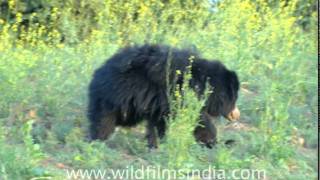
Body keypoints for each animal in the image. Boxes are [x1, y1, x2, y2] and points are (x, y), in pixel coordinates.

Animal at [87, 44, 240, 149]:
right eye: (233, 98)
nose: (236, 114)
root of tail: (98, 71)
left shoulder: (158, 103)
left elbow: (158, 122)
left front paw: (156, 143)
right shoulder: (176, 95)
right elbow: (200, 120)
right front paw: (216, 141)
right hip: (113, 97)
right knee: (103, 120)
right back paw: (98, 139)